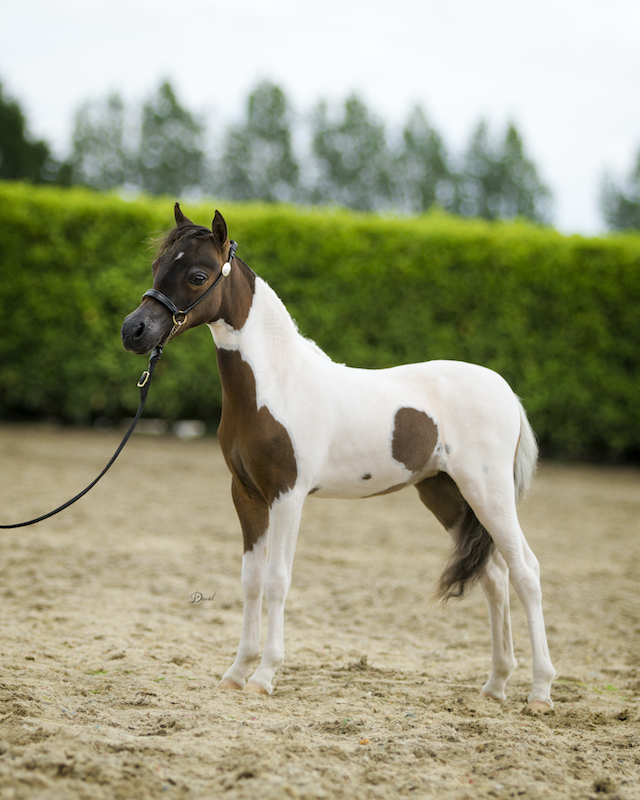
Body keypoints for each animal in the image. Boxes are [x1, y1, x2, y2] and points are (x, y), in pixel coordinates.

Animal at [121, 204, 555, 712]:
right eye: (157, 266)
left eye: (197, 275)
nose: (134, 331)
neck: (275, 384)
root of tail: (504, 390)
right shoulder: (246, 495)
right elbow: (251, 580)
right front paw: (235, 673)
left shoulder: (287, 496)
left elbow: (277, 580)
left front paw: (264, 676)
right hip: (446, 496)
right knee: (494, 576)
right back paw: (495, 685)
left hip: (488, 492)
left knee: (525, 571)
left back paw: (540, 692)